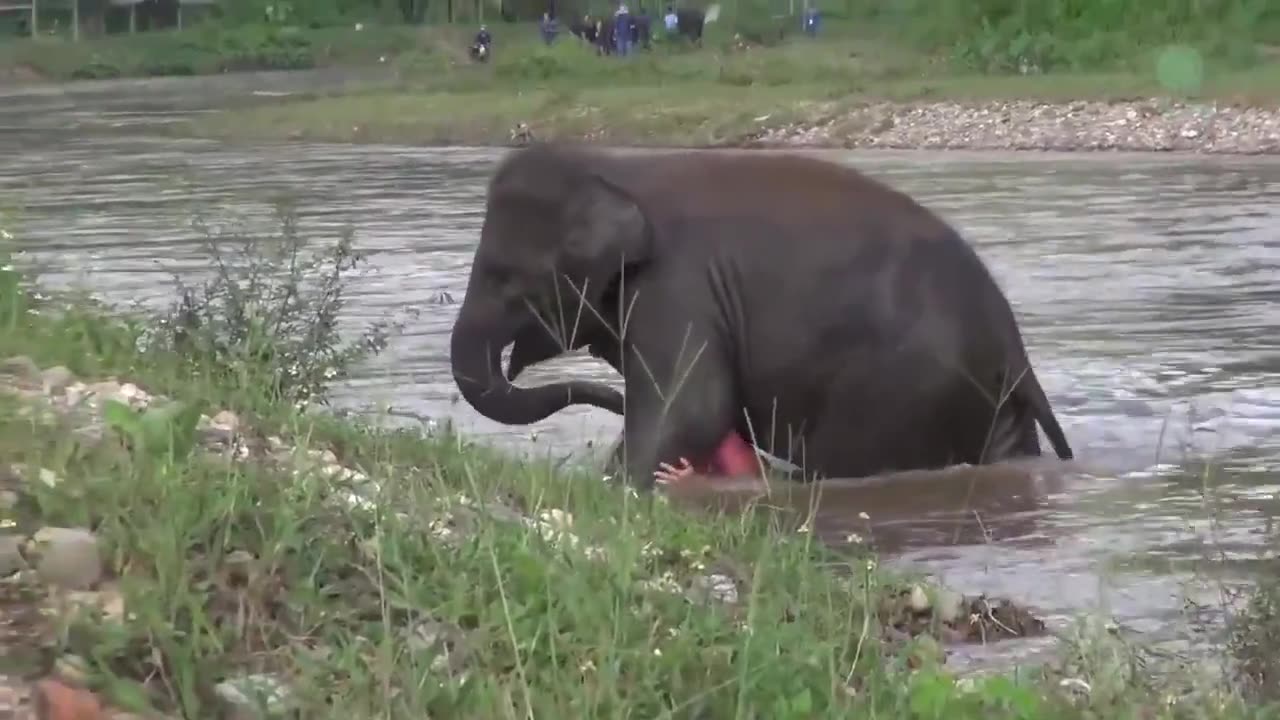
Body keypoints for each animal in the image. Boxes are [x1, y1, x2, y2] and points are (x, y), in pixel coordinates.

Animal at [449, 143, 1075, 489]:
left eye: (505, 277)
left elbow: (696, 406)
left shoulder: (676, 287)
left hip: (903, 389)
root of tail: (1014, 348)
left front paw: (615, 487)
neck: (613, 170)